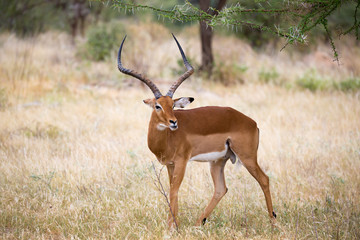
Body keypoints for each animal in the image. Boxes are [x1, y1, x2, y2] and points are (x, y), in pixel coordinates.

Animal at [117, 34, 276, 228]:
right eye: (157, 106)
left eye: (172, 105)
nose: (173, 122)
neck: (167, 139)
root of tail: (251, 122)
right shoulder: (170, 164)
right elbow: (172, 189)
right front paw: (174, 224)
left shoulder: (182, 161)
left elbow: (174, 190)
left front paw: (171, 227)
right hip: (218, 161)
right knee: (221, 188)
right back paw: (199, 223)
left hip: (247, 157)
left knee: (264, 179)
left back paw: (273, 221)